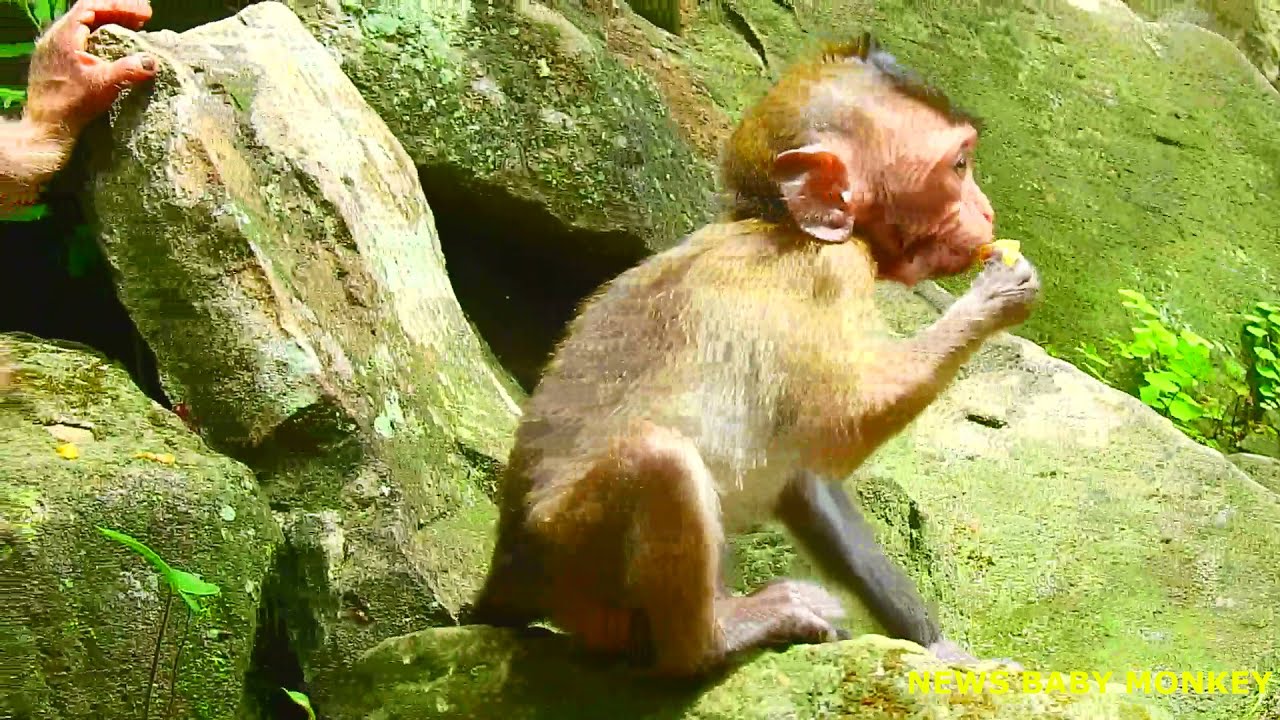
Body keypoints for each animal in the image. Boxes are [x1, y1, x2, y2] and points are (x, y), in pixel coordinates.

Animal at [466, 33, 1039, 678]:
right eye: (959, 166)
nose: (987, 210)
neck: (780, 223)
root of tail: (509, 565)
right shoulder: (830, 274)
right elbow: (837, 425)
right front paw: (996, 295)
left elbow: (807, 479)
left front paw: (939, 648)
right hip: (575, 563)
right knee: (660, 458)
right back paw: (717, 639)